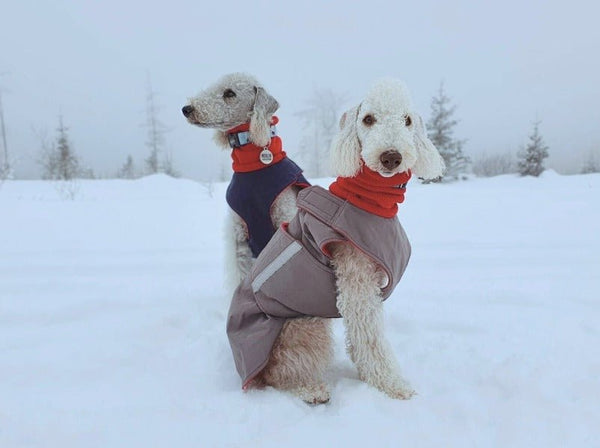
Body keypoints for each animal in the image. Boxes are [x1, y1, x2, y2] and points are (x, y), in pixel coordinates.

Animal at [230, 77, 446, 402]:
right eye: (368, 119)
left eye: (408, 120)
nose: (391, 157)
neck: (367, 200)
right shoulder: (356, 280)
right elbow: (370, 340)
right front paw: (392, 384)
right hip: (303, 325)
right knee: (279, 374)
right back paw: (311, 389)